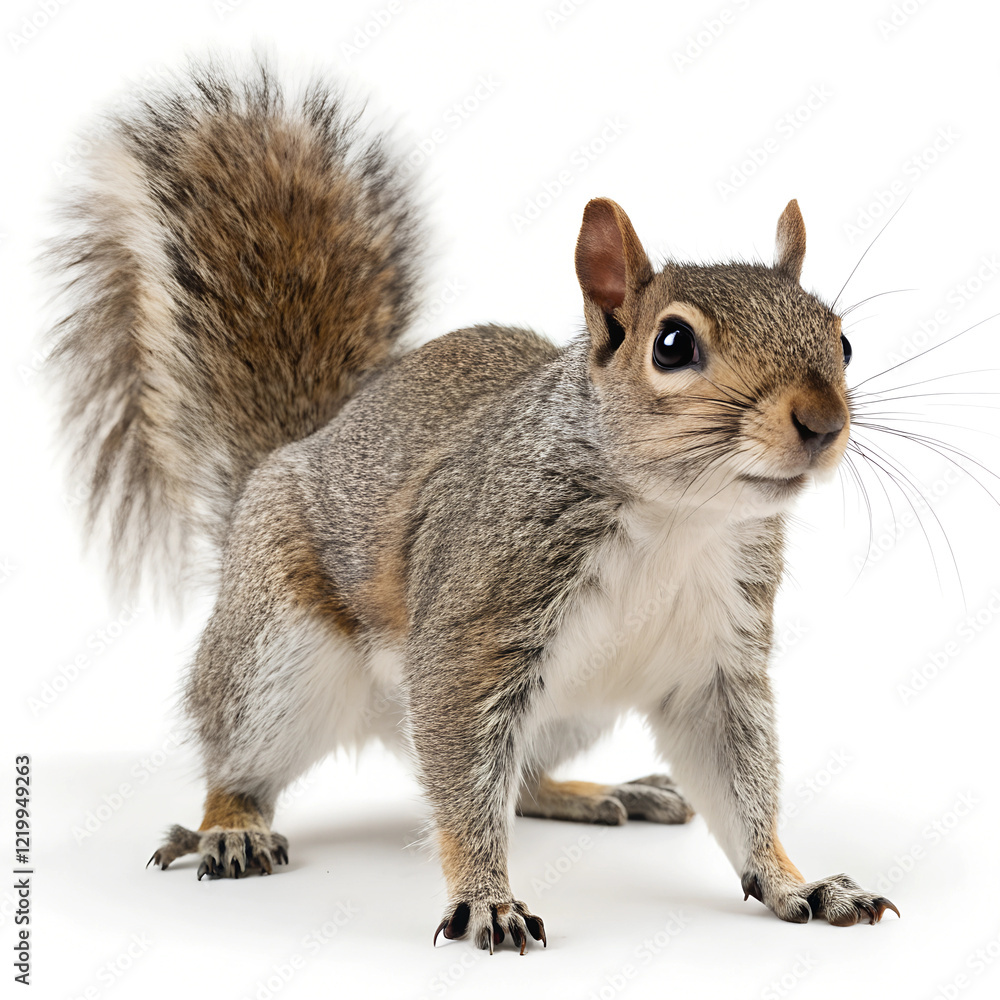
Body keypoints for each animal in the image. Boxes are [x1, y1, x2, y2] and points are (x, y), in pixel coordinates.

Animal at [48, 61, 899, 952]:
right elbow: (462, 783)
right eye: (672, 345)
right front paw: (488, 898)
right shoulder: (477, 616)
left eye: (842, 341)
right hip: (277, 657)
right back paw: (231, 826)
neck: (677, 518)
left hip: (564, 712)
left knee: (517, 779)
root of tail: (298, 448)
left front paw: (797, 882)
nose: (823, 421)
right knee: (245, 755)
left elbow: (741, 784)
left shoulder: (715, 659)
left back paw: (598, 792)